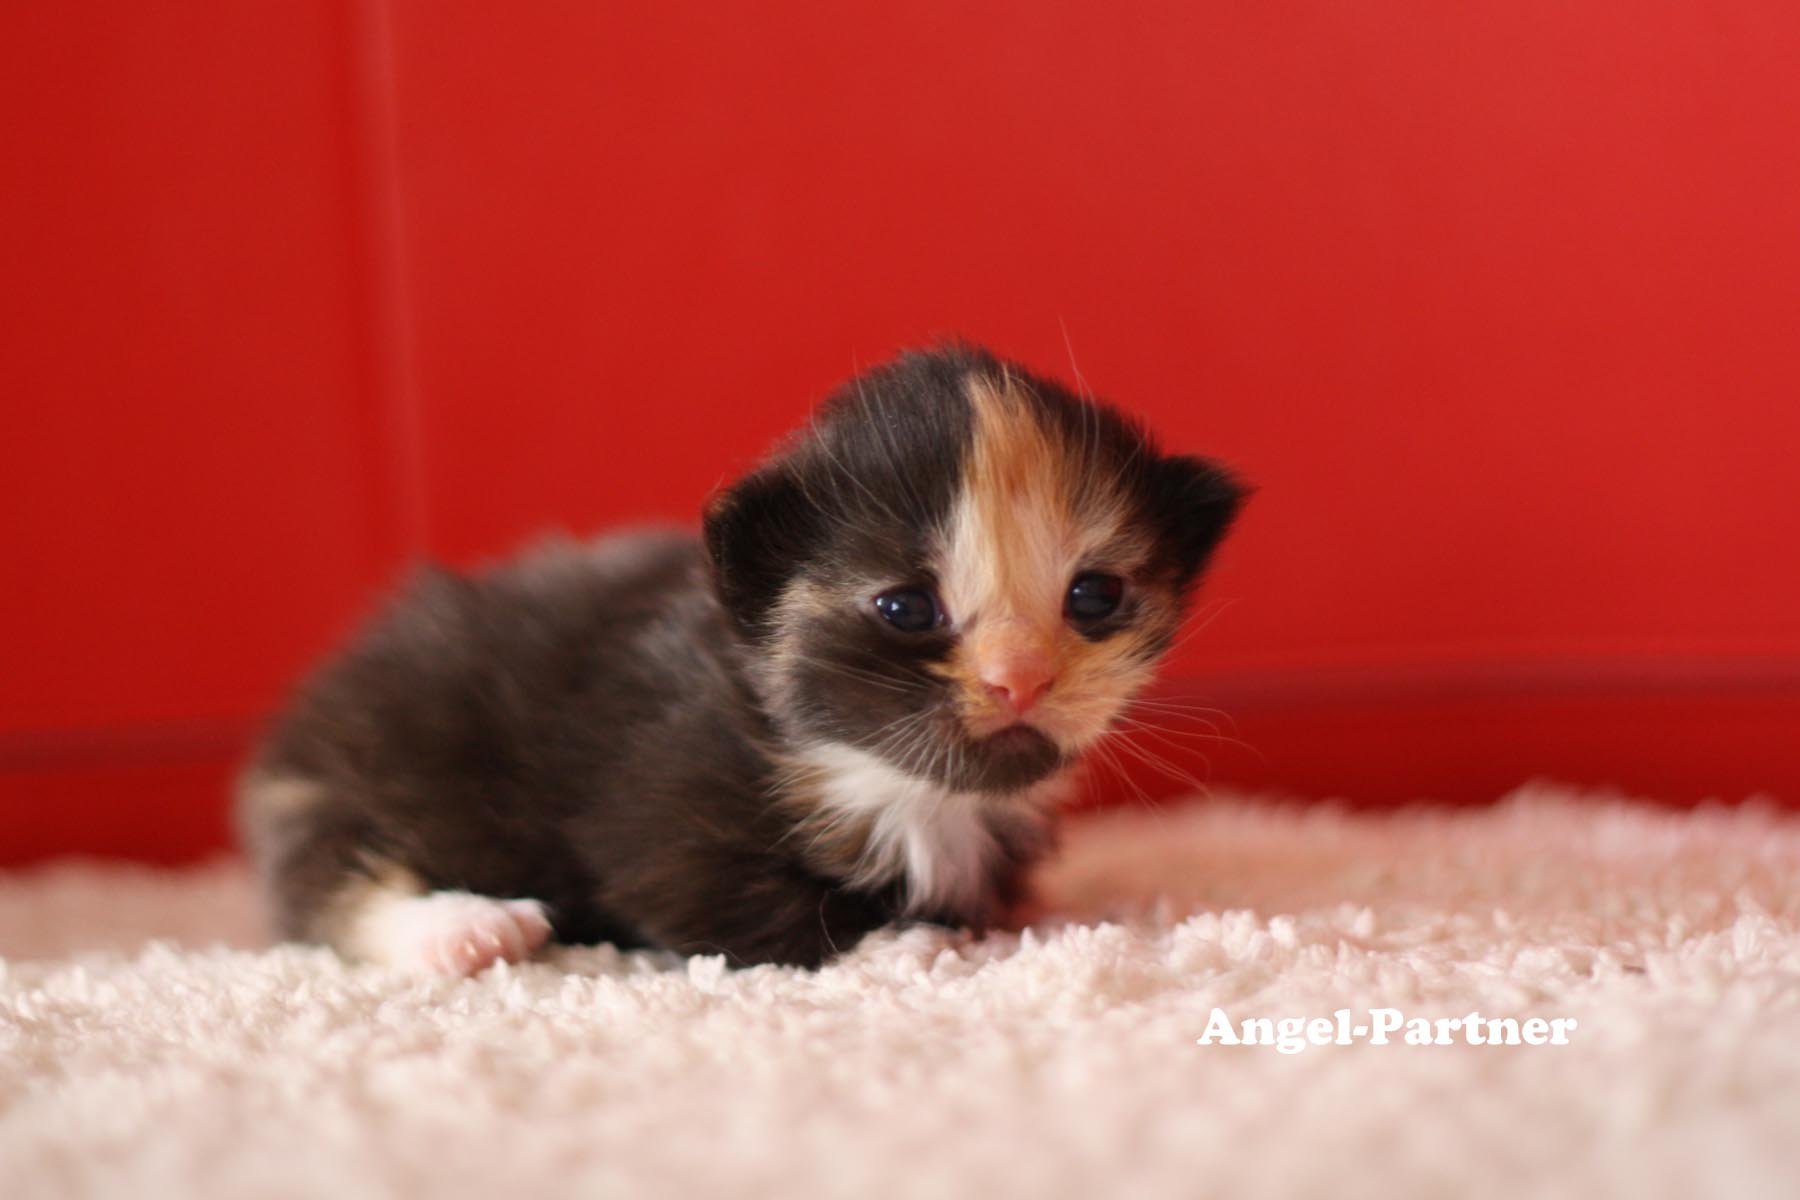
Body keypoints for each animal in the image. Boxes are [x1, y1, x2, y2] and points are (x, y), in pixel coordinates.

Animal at [239, 345, 1245, 978]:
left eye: (1094, 596)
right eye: (905, 608)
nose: (1021, 678)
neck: (880, 776)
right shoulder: (658, 804)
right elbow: (729, 899)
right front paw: (897, 945)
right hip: (367, 770)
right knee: (328, 887)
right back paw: (463, 928)